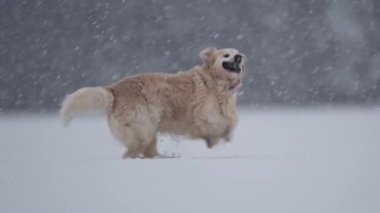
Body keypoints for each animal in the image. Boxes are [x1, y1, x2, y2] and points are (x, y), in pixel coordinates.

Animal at [59, 47, 246, 158]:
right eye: (226, 55)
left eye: (237, 53)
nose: (239, 56)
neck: (216, 82)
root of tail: (113, 88)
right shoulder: (204, 115)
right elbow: (224, 126)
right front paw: (219, 142)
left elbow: (230, 126)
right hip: (142, 130)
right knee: (130, 154)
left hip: (149, 132)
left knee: (148, 153)